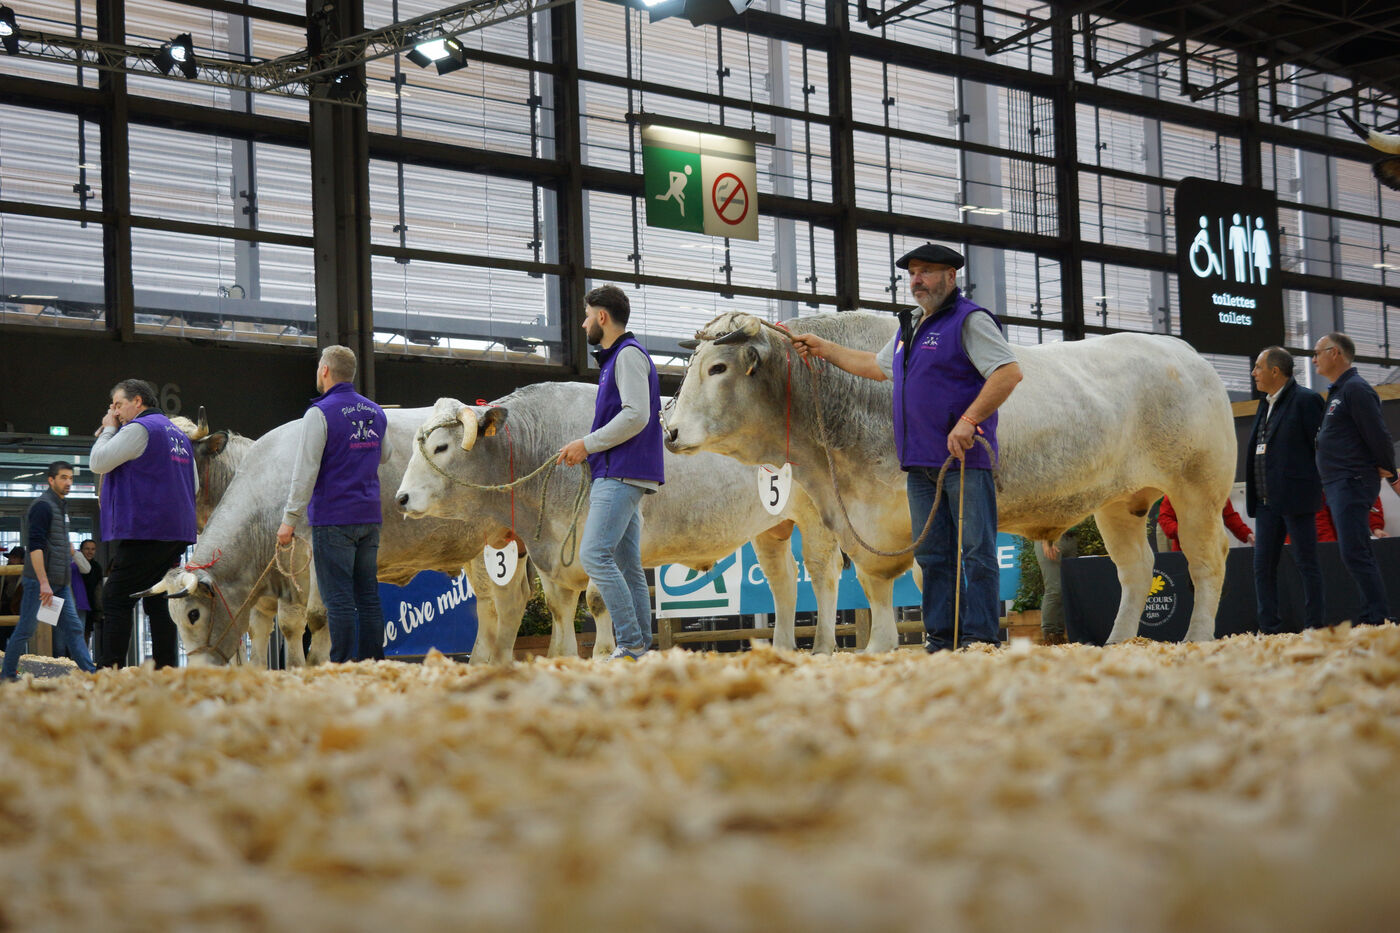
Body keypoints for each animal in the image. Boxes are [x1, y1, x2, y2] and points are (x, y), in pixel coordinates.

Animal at [140, 408, 536, 666]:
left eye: (193, 615)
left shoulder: (311, 564)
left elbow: (310, 620)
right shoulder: (269, 583)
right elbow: (265, 630)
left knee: (508, 601)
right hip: (476, 550)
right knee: (488, 606)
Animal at [395, 382, 847, 660]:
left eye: (441, 446)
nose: (401, 498)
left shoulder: (600, 537)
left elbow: (599, 599)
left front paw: (601, 653)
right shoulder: (551, 556)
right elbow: (560, 608)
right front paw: (562, 658)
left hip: (816, 518)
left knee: (823, 571)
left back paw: (823, 646)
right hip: (771, 526)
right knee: (783, 579)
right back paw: (784, 646)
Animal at [663, 310, 1237, 647]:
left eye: (717, 368)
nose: (668, 430)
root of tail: (1187, 355)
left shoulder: (924, 512)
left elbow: (928, 580)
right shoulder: (865, 524)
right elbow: (875, 591)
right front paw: (881, 650)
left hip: (1199, 488)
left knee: (1206, 562)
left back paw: (1199, 637)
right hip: (1119, 502)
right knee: (1137, 570)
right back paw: (1118, 644)